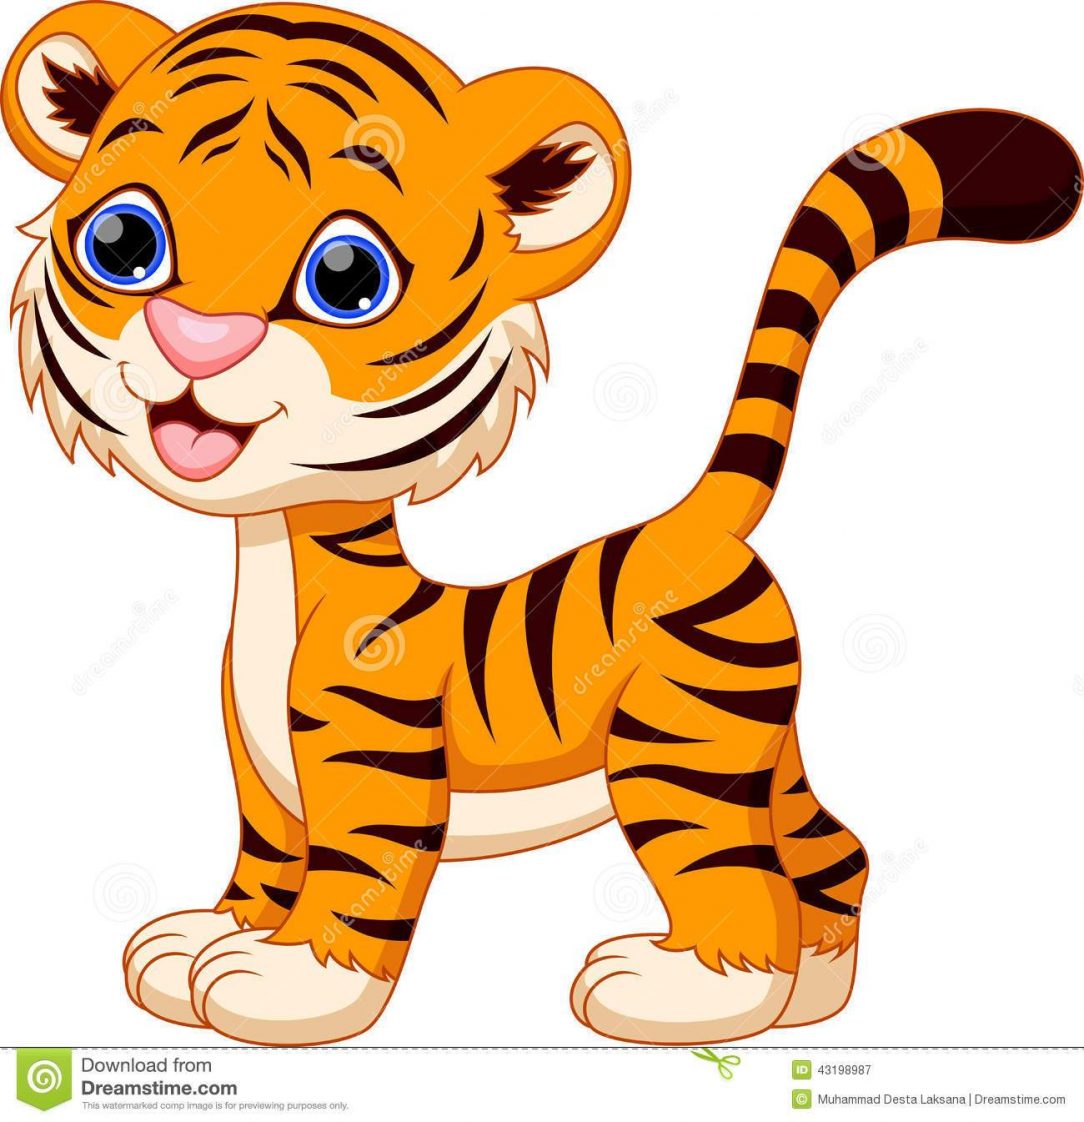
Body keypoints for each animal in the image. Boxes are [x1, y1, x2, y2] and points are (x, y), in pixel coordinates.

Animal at [2, 1, 1079, 1047]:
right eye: (125, 243)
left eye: (347, 277)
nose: (199, 343)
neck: (277, 560)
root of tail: (691, 521)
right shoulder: (264, 783)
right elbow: (266, 863)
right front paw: (206, 940)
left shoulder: (371, 768)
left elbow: (354, 886)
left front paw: (283, 987)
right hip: (763, 744)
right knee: (834, 847)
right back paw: (813, 995)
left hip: (679, 745)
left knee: (739, 881)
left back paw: (689, 993)